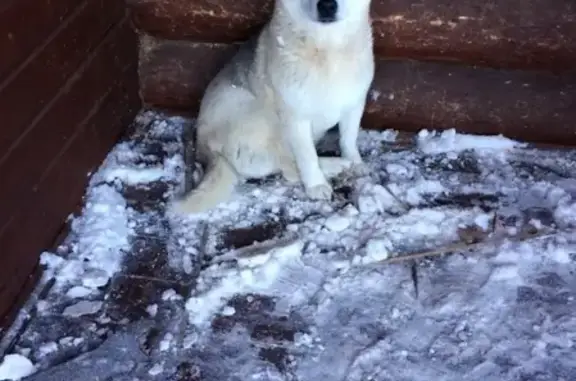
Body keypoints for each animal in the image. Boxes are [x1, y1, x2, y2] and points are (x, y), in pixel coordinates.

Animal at [169, 0, 376, 214]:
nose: (327, 6)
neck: (326, 49)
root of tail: (207, 152)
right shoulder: (296, 118)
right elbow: (307, 157)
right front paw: (316, 184)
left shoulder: (355, 105)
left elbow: (348, 139)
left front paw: (355, 160)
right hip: (253, 110)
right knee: (288, 167)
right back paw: (336, 165)